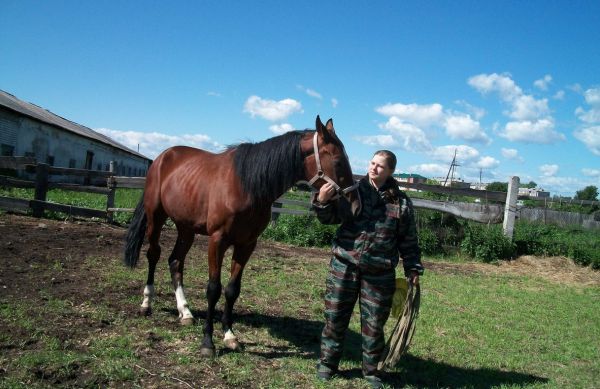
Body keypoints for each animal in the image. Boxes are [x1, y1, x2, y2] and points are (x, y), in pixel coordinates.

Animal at [119, 116, 358, 358]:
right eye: (338, 161)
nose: (355, 206)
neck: (247, 185)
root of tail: (162, 157)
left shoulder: (246, 244)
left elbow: (232, 290)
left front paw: (229, 336)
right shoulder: (217, 241)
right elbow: (213, 289)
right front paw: (208, 342)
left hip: (186, 228)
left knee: (175, 261)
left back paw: (185, 312)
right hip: (155, 218)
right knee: (154, 255)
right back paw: (146, 303)